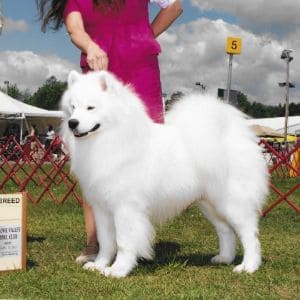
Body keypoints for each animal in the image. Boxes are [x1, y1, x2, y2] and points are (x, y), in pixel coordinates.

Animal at [61, 71, 270, 278]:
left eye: (91, 107)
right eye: (73, 107)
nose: (72, 123)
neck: (109, 138)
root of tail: (239, 136)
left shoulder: (125, 207)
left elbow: (124, 242)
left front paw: (118, 270)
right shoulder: (101, 208)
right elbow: (106, 241)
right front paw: (99, 265)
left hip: (232, 202)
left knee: (249, 234)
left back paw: (248, 266)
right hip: (209, 204)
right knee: (225, 230)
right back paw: (224, 258)